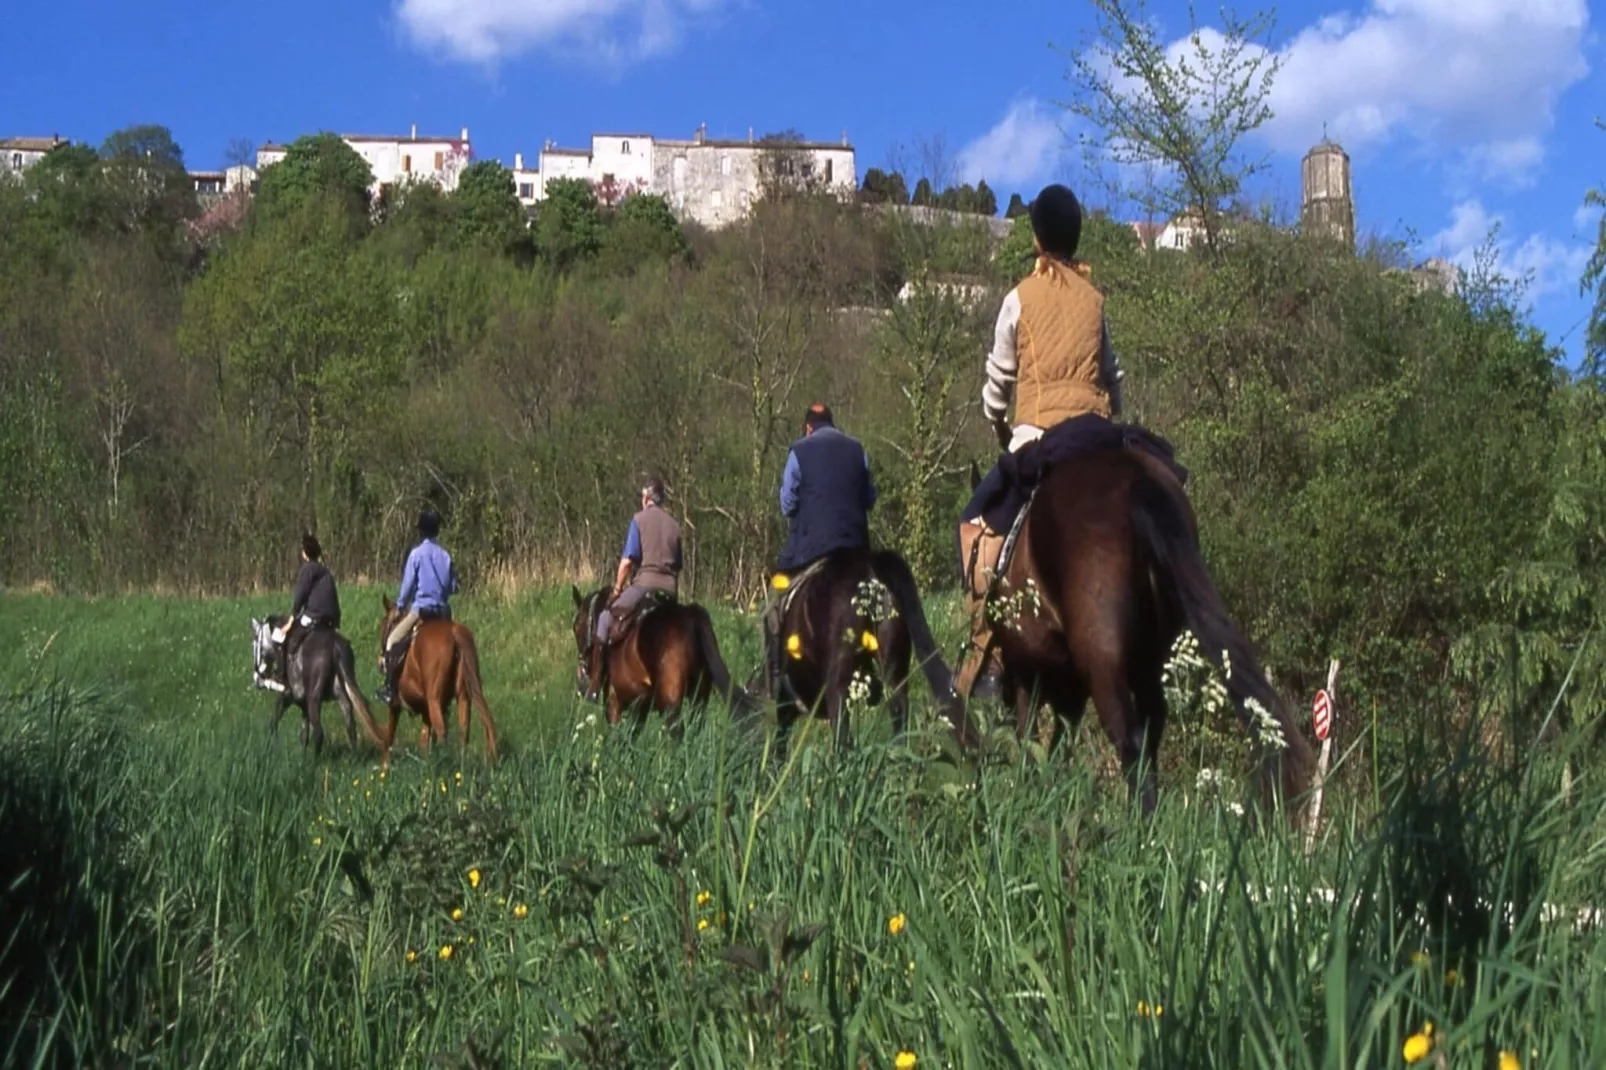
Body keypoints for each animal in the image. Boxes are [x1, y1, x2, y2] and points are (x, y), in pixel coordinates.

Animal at [248, 613, 383, 755]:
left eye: (254, 644)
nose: (257, 679)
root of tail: (334, 646)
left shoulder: (286, 695)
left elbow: (273, 722)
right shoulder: (303, 705)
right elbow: (304, 734)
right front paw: (302, 755)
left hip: (313, 699)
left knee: (319, 733)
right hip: (342, 695)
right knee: (350, 726)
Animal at [377, 591, 497, 767]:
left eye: (384, 626)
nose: (380, 662)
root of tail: (454, 632)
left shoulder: (395, 705)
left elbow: (389, 736)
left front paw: (385, 768)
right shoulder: (425, 710)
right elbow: (425, 739)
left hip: (434, 700)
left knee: (442, 731)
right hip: (462, 697)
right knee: (463, 730)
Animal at [571, 584, 758, 732]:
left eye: (576, 627)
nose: (582, 675)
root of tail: (690, 614)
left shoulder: (614, 703)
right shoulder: (641, 708)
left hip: (670, 702)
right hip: (699, 697)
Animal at [767, 546, 976, 755]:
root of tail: (869, 564)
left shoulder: (785, 704)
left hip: (838, 684)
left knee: (842, 731)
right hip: (894, 668)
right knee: (899, 711)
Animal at [970, 446, 1310, 812]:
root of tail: (1137, 482)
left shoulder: (1027, 674)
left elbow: (1031, 743)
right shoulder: (1070, 691)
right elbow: (1059, 747)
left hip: (1101, 665)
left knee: (1130, 741)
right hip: (1149, 664)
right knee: (1150, 735)